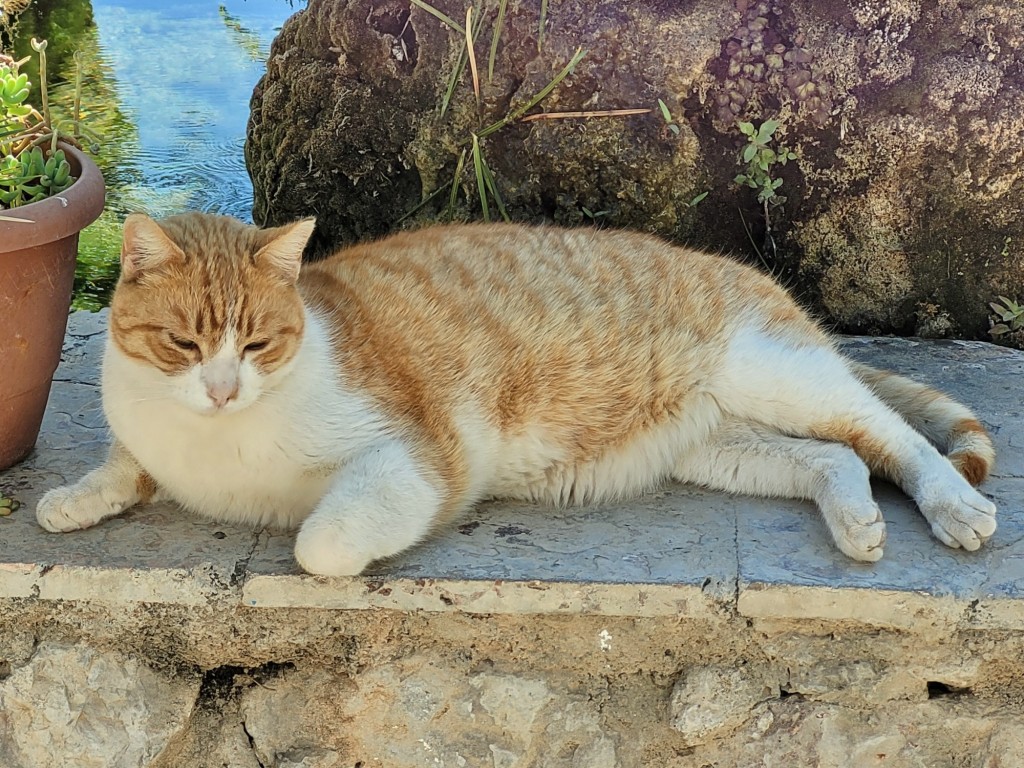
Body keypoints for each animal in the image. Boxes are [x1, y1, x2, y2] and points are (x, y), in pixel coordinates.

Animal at [36, 214, 995, 573]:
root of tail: (741, 271)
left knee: (894, 438)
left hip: (778, 373)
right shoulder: (146, 434)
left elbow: (320, 542)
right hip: (719, 446)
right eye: (186, 344)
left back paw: (954, 505)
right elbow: (123, 464)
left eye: (259, 344)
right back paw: (855, 518)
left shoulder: (422, 458)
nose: (224, 388)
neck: (214, 441)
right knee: (836, 459)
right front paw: (75, 498)